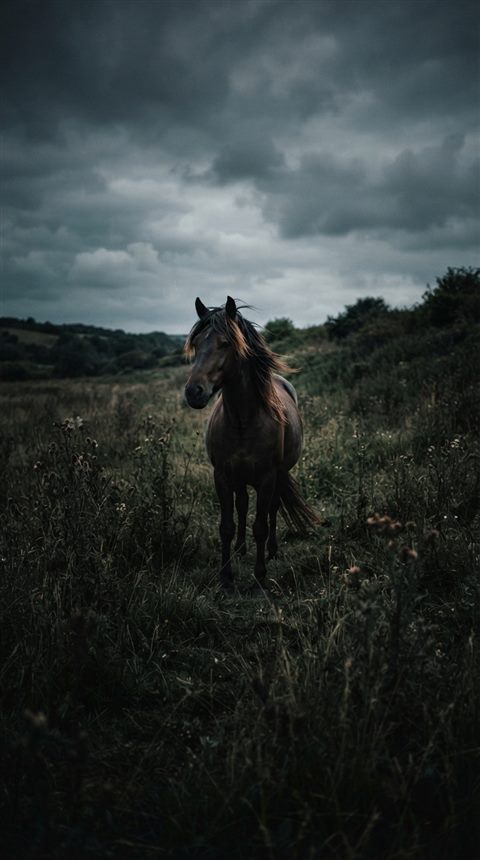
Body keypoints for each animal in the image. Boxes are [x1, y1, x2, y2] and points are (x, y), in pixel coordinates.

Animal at [184, 296, 318, 589]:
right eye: (196, 344)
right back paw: (240, 548)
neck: (242, 421)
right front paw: (226, 575)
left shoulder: (268, 477)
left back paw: (272, 550)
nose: (193, 392)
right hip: (240, 478)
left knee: (272, 510)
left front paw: (259, 574)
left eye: (225, 343)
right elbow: (227, 526)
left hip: (277, 476)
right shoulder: (222, 475)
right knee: (243, 504)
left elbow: (261, 525)